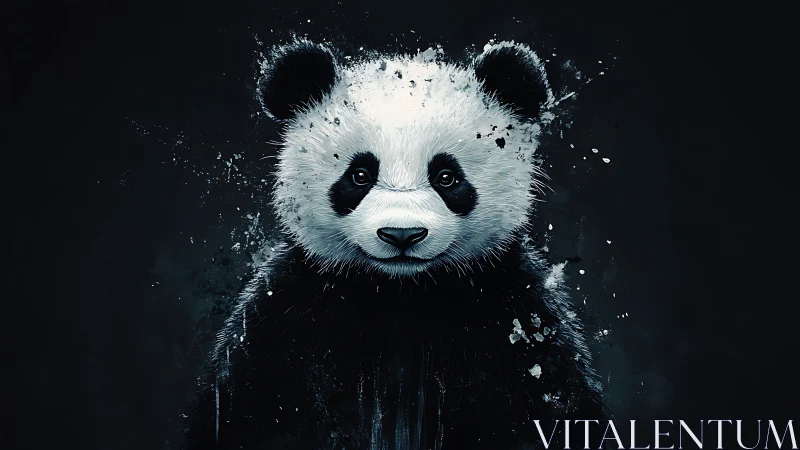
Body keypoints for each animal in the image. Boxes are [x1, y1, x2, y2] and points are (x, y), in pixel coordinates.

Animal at [183, 39, 606, 450]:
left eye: (447, 176)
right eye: (359, 174)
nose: (402, 234)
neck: (402, 294)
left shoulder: (513, 318)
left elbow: (552, 406)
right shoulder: (286, 315)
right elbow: (243, 408)